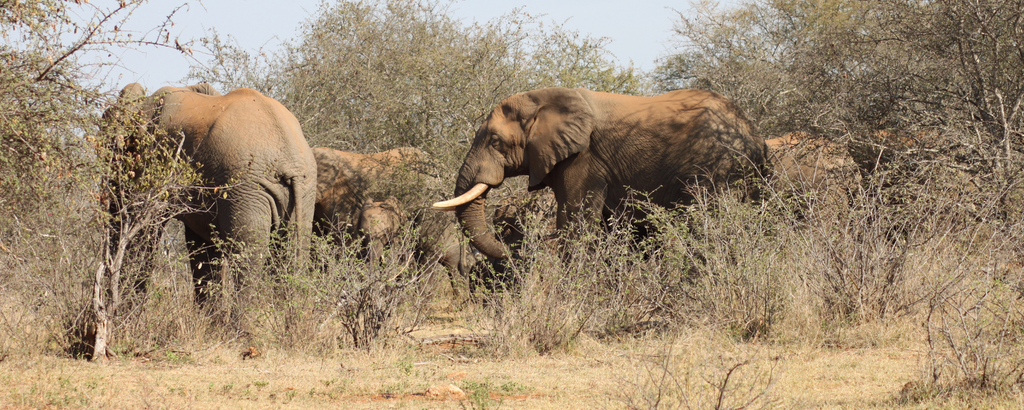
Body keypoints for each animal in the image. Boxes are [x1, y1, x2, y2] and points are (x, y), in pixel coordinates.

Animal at [106, 82, 317, 307]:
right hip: (302, 191)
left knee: (248, 258)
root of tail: (290, 159)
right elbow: (203, 248)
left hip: (246, 186)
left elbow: (145, 235)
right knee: (290, 253)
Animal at [434, 87, 770, 259]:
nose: (514, 251)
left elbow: (575, 217)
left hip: (716, 166)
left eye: (495, 141)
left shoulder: (582, 158)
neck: (544, 99)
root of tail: (754, 134)